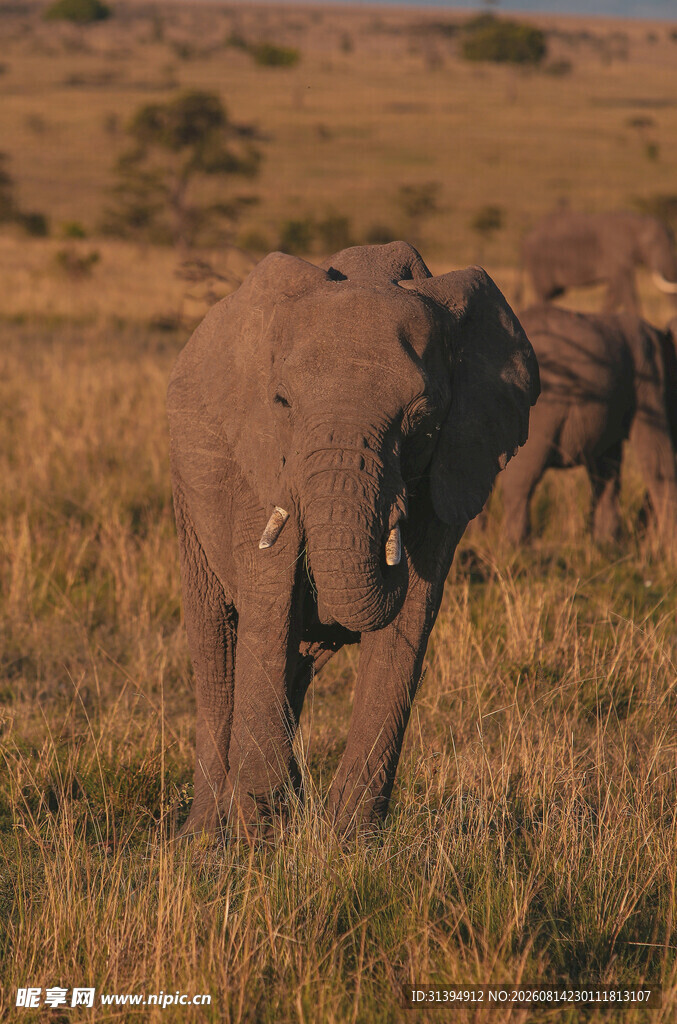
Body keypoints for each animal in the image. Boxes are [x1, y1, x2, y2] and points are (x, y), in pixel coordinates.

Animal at [167, 241, 539, 838]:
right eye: (282, 402)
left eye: (422, 416)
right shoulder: (261, 460)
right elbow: (269, 605)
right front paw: (257, 832)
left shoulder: (454, 464)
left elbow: (410, 618)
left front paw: (348, 838)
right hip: (186, 485)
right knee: (218, 643)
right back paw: (206, 834)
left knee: (302, 659)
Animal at [498, 304, 677, 544]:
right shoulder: (649, 378)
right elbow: (657, 455)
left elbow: (607, 466)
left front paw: (606, 545)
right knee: (522, 479)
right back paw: (518, 546)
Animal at [521, 210, 677, 314]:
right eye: (652, 243)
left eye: (672, 243)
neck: (638, 221)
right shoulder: (615, 253)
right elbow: (626, 290)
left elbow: (615, 292)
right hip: (539, 262)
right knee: (544, 293)